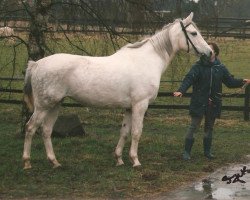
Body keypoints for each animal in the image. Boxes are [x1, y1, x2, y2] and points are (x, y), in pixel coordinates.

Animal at [22, 12, 212, 169]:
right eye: (194, 33)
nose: (210, 52)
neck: (147, 60)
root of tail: (36, 64)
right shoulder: (140, 105)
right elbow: (136, 132)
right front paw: (135, 161)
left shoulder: (129, 107)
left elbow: (125, 132)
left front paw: (119, 159)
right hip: (44, 106)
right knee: (31, 128)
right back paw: (27, 162)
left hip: (55, 104)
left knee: (46, 131)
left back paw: (55, 162)